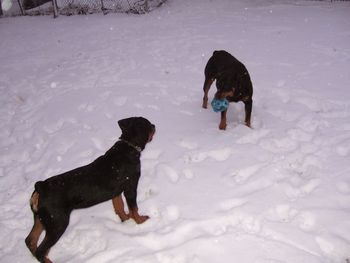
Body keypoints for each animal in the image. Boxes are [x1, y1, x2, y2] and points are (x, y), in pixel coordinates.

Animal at [25, 117, 155, 263]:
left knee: (30, 240)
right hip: (57, 223)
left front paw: (125, 220)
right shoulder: (131, 187)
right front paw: (141, 221)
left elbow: (119, 206)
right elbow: (134, 208)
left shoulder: (116, 192)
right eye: (149, 125)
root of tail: (40, 186)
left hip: (41, 219)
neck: (128, 146)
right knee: (41, 250)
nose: (154, 125)